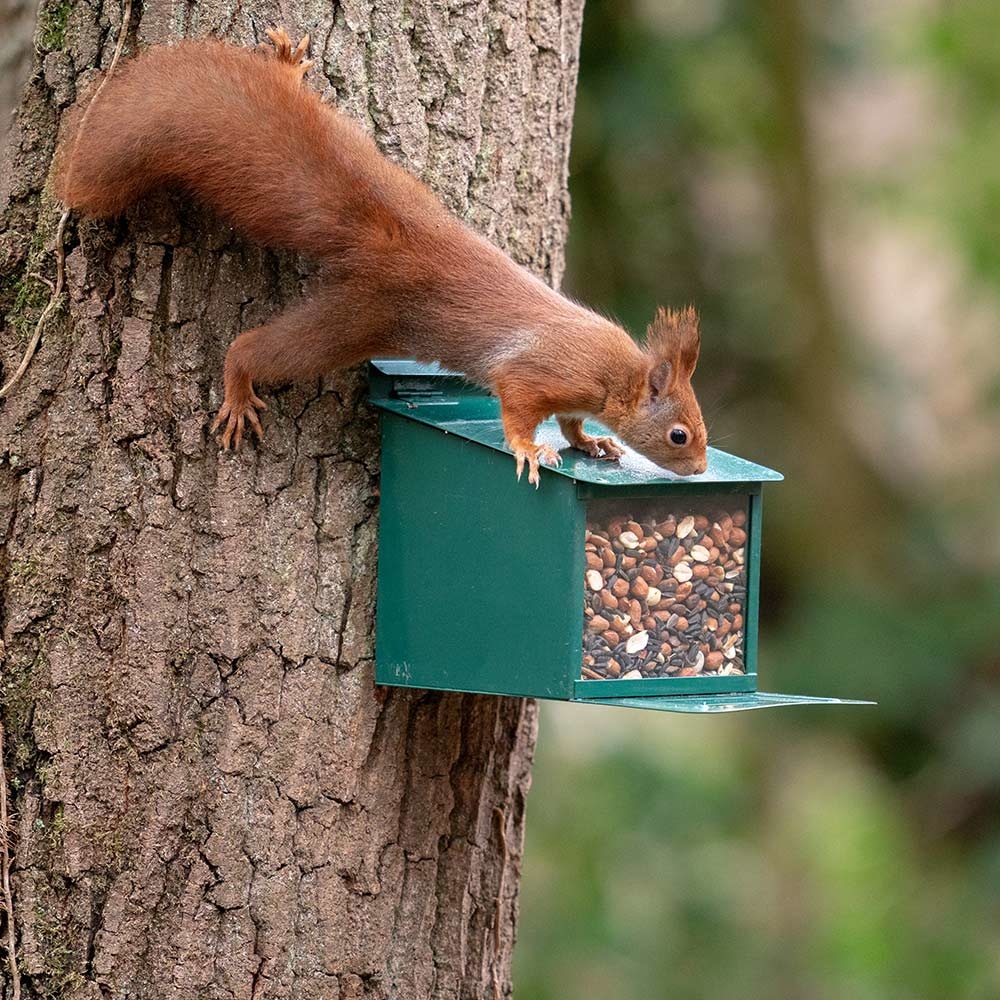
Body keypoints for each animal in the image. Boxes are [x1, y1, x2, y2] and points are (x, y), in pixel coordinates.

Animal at [56, 30, 712, 484]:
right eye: (680, 435)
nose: (704, 469)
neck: (617, 373)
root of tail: (394, 236)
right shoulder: (542, 373)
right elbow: (518, 407)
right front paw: (530, 449)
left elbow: (574, 422)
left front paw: (592, 443)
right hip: (356, 319)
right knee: (258, 349)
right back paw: (240, 388)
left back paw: (287, 70)